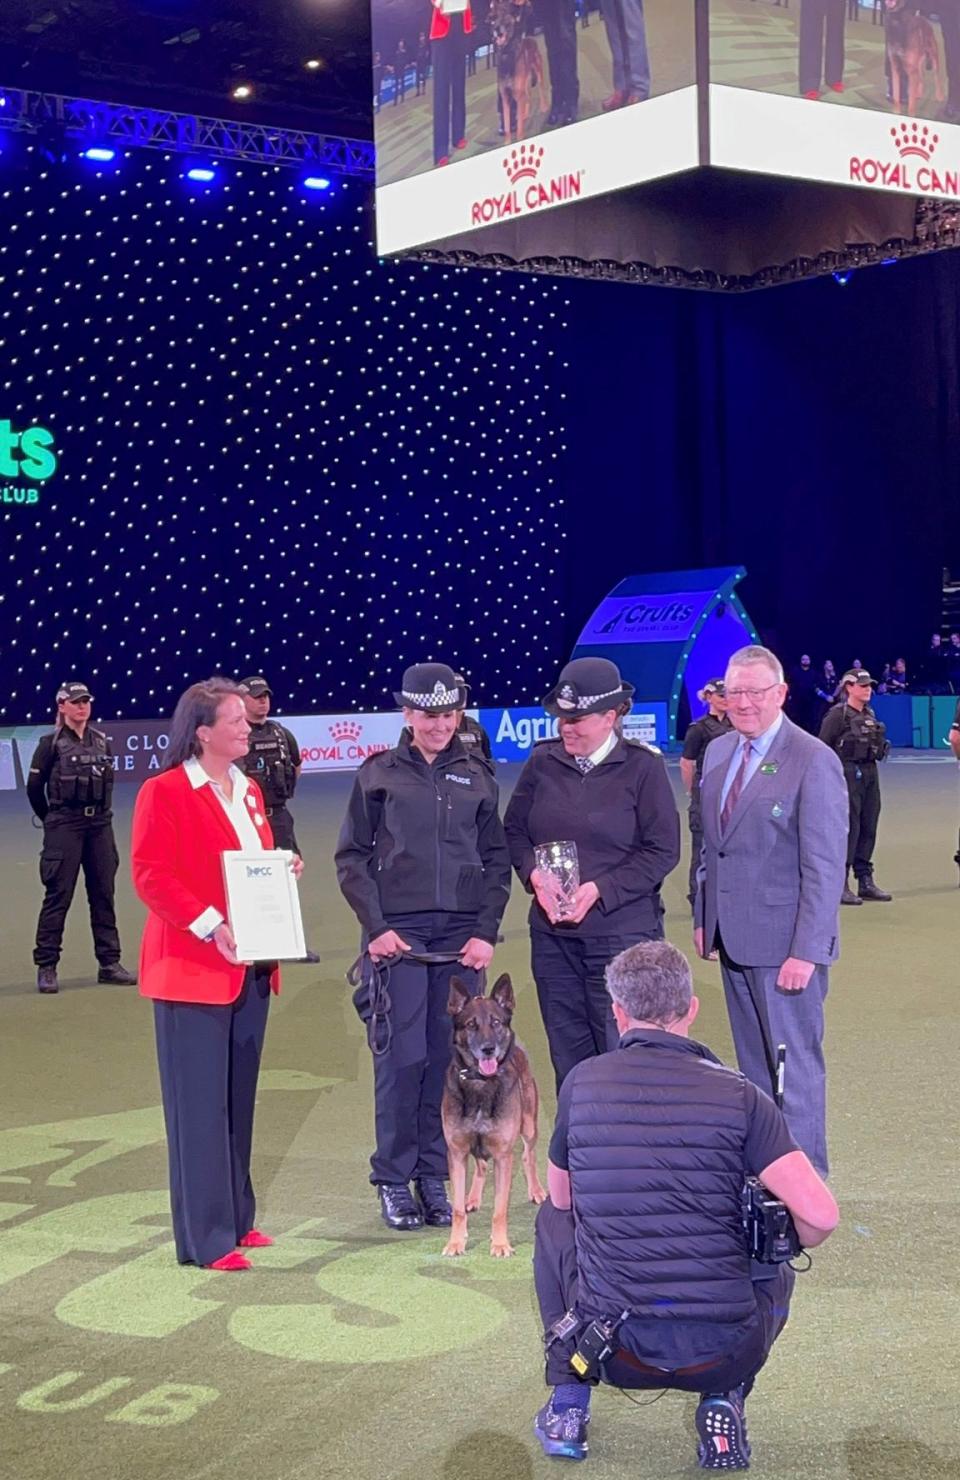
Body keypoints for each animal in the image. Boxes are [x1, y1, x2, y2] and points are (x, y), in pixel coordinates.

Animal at [372, 0, 695, 253]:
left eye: (503, 19)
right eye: (495, 19)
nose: (496, 30)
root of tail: (528, 38)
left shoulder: (519, 93)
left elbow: (519, 128)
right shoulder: (505, 98)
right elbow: (508, 127)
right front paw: (509, 146)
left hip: (539, 70)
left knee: (544, 89)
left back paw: (558, 110)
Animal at [437, 976, 544, 1255]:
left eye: (496, 1022)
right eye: (470, 1025)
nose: (488, 1049)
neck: (480, 1083)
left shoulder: (503, 1155)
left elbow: (500, 1209)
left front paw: (500, 1244)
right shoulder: (457, 1152)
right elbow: (457, 1210)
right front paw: (455, 1242)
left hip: (529, 1126)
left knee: (529, 1155)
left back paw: (537, 1190)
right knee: (481, 1165)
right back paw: (473, 1198)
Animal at [707, 0, 958, 202]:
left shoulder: (906, 65)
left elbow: (911, 101)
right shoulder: (896, 66)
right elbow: (898, 95)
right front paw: (900, 114)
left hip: (933, 54)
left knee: (936, 74)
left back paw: (939, 98)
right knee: (920, 79)